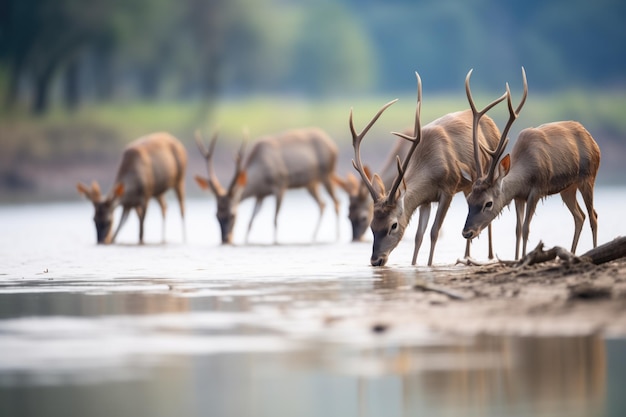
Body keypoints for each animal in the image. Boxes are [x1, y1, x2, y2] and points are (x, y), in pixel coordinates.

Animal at [195, 127, 342, 244]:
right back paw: (313, 236)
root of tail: (333, 145)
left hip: (327, 174)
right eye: (216, 215)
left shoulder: (280, 185)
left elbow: (275, 219)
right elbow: (250, 222)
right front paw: (245, 241)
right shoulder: (260, 195)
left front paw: (275, 241)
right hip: (311, 183)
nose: (226, 239)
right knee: (322, 204)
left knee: (336, 202)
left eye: (233, 215)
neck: (259, 178)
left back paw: (336, 237)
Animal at [348, 71, 504, 266]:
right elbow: (418, 236)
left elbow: (434, 231)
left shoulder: (448, 188)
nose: (376, 260)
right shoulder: (426, 199)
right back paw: (467, 256)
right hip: (469, 184)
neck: (429, 165)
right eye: (372, 224)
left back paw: (488, 256)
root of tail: (492, 122)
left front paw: (430, 265)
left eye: (393, 225)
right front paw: (414, 265)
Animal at [458, 68, 600, 256]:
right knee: (579, 216)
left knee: (593, 216)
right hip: (568, 188)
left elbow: (526, 228)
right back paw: (571, 252)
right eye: (468, 200)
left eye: (488, 203)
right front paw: (516, 257)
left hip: (588, 176)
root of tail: (593, 141)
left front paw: (524, 257)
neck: (525, 173)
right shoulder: (519, 196)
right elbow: (517, 230)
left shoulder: (537, 189)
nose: (467, 232)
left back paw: (594, 250)